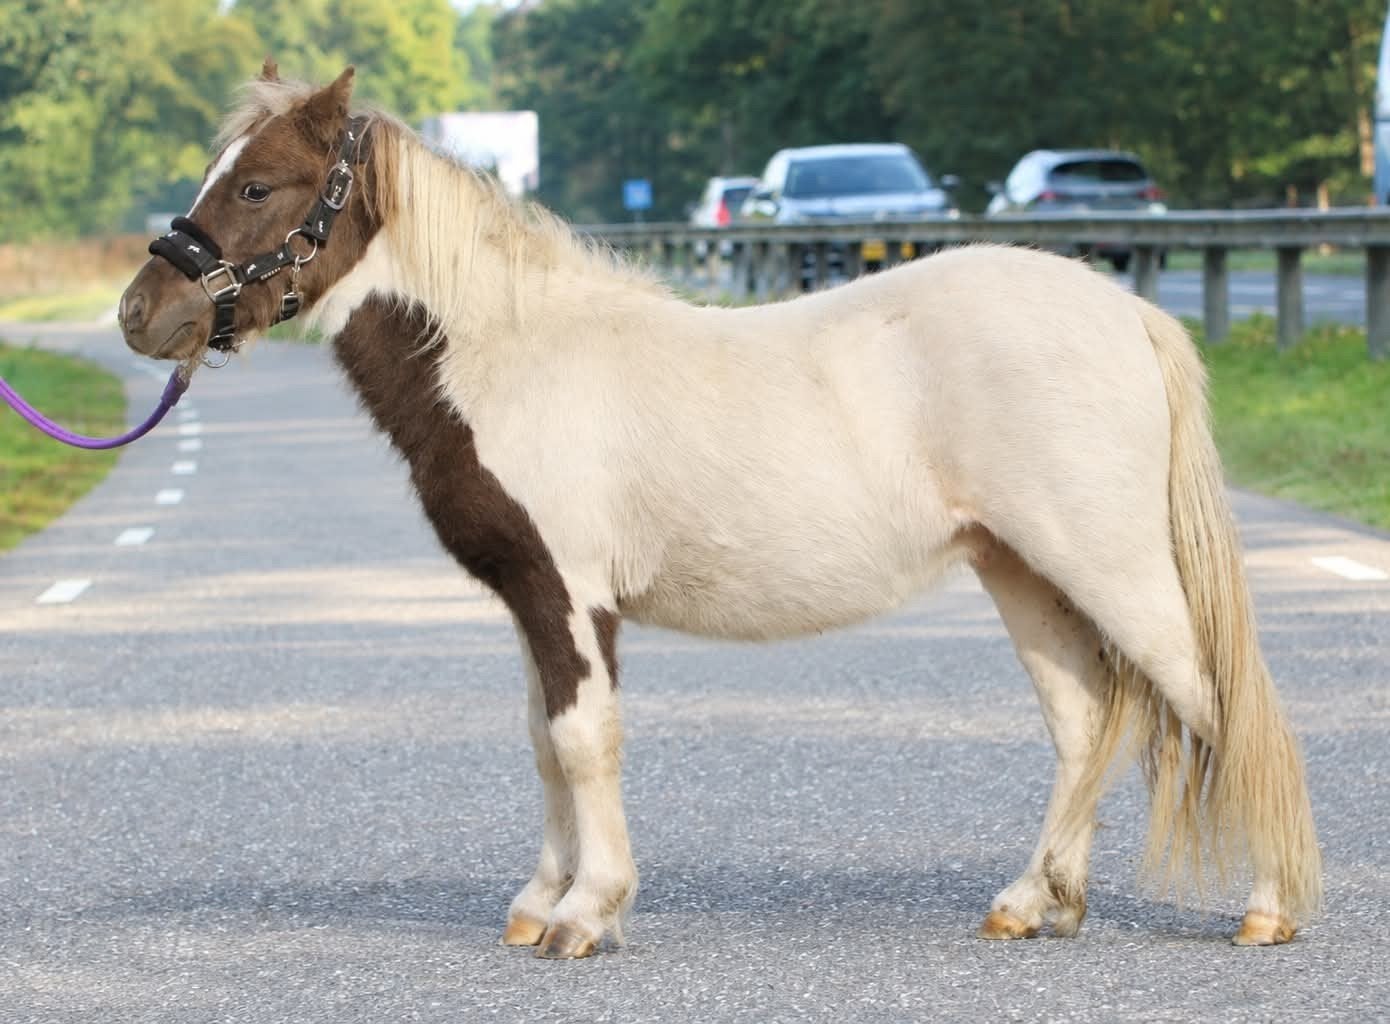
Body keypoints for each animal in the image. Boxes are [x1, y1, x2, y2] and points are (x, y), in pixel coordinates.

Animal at [117, 64, 1321, 959]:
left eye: (262, 185)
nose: (142, 313)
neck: (512, 356)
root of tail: (1128, 314)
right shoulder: (532, 598)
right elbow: (544, 740)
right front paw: (539, 903)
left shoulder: (571, 593)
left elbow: (584, 739)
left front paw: (586, 915)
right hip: (1019, 567)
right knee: (1083, 721)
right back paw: (1034, 902)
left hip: (1108, 564)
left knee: (1216, 699)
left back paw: (1266, 909)